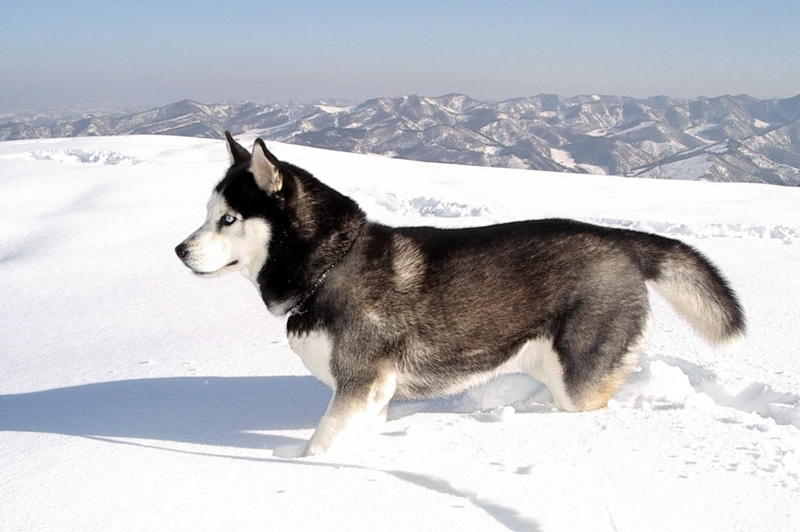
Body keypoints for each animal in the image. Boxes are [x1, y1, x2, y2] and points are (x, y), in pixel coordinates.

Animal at [175, 132, 744, 454]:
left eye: (229, 219)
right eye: (207, 214)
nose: (179, 250)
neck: (328, 266)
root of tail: (618, 239)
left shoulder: (360, 385)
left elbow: (320, 445)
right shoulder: (374, 396)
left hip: (578, 377)